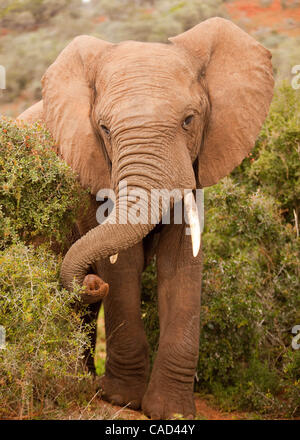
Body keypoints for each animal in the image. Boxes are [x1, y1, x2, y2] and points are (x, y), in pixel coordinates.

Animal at [17, 18, 274, 420]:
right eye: (104, 129)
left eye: (189, 120)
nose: (90, 280)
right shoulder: (89, 169)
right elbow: (122, 268)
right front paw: (121, 399)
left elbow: (181, 263)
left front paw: (172, 412)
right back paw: (79, 384)